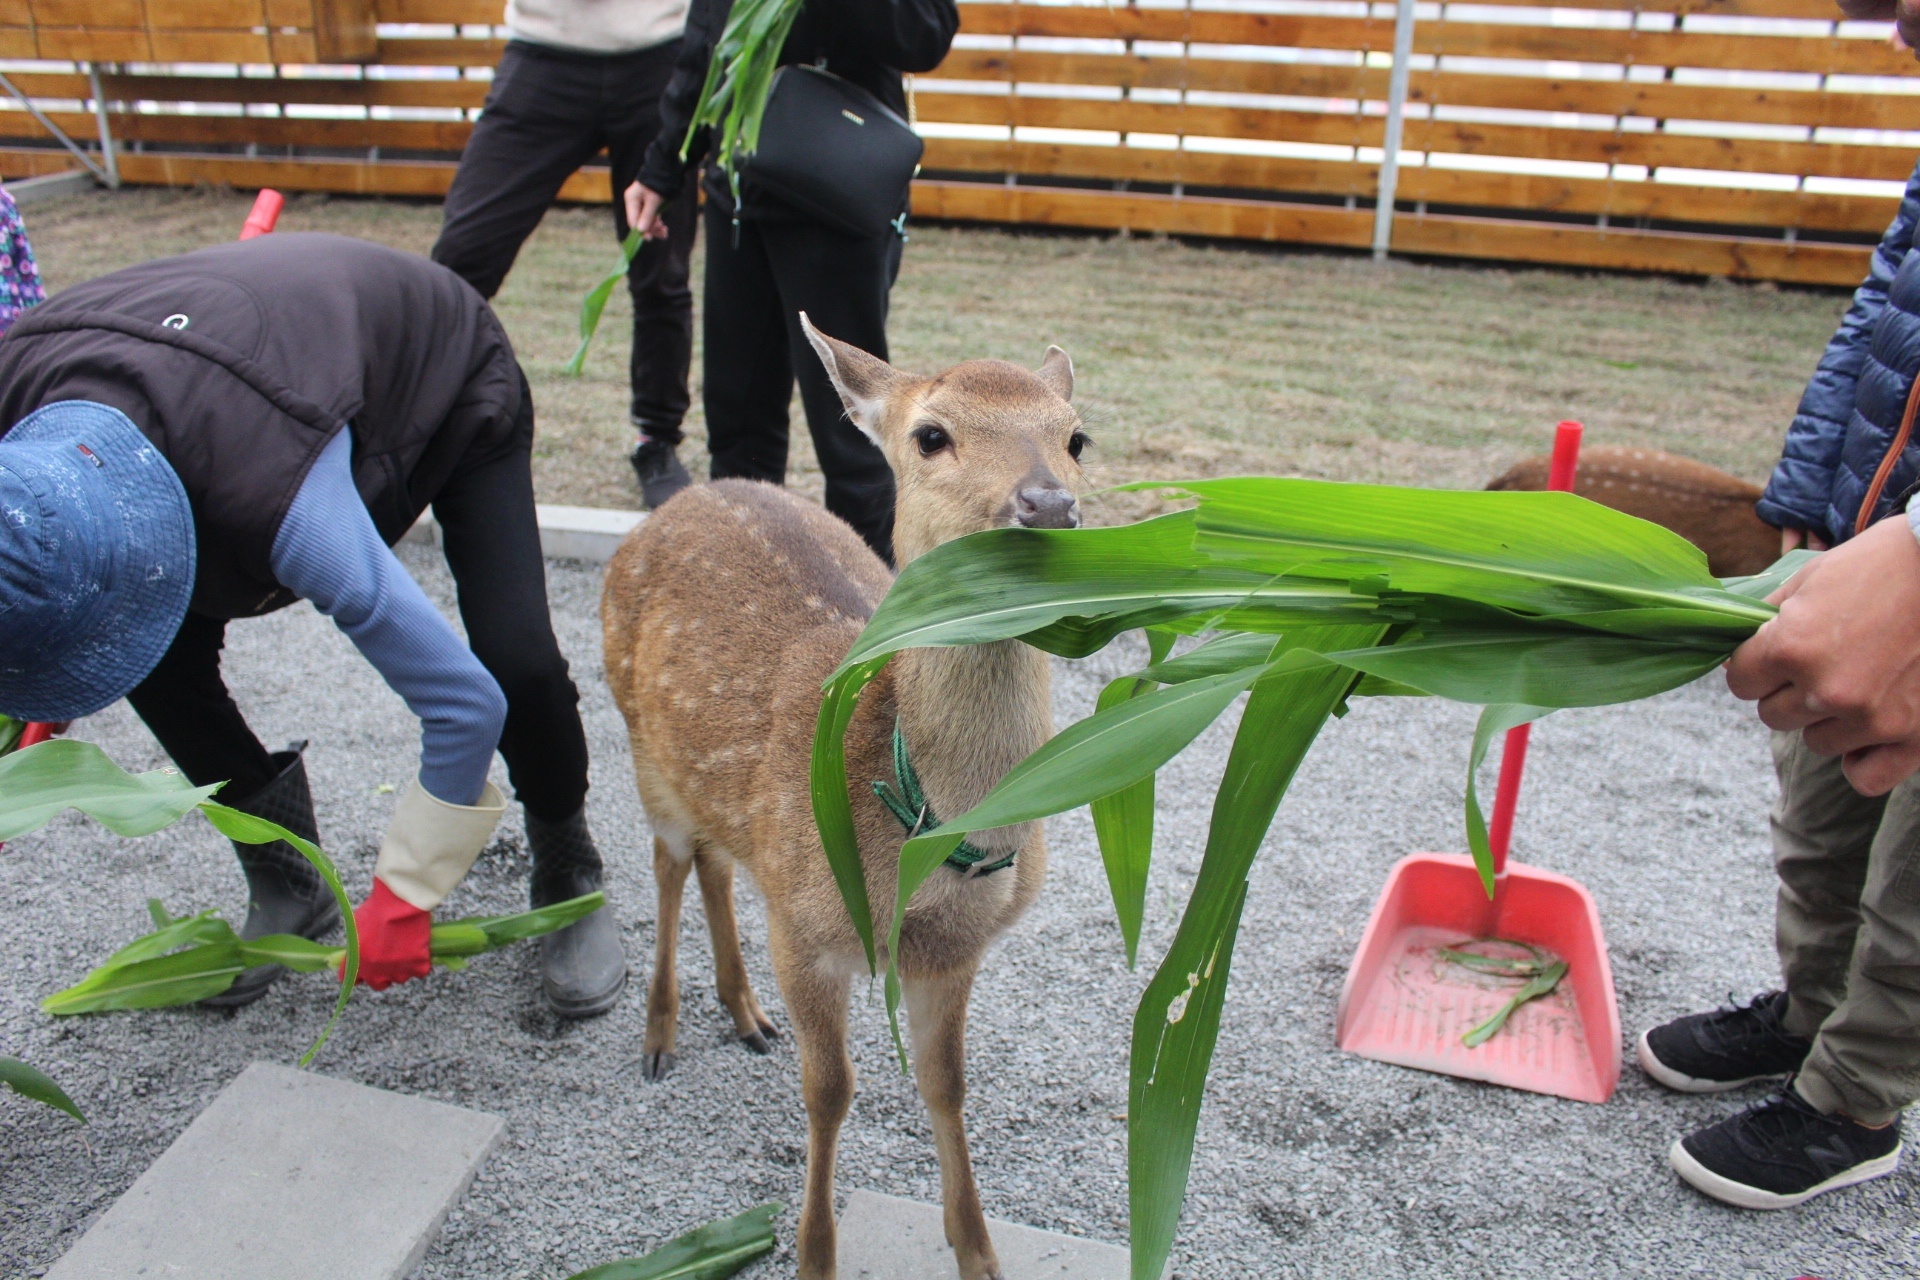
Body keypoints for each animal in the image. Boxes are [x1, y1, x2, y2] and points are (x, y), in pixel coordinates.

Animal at [601, 315, 1086, 1280]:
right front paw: (813, 1252)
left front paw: (977, 1251)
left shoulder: (953, 952)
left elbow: (947, 1084)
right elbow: (830, 1091)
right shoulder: (805, 930)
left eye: (1076, 437)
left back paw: (745, 1014)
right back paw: (660, 1037)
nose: (1048, 505)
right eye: (931, 435)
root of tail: (675, 504)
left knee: (718, 861)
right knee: (670, 865)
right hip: (639, 740)